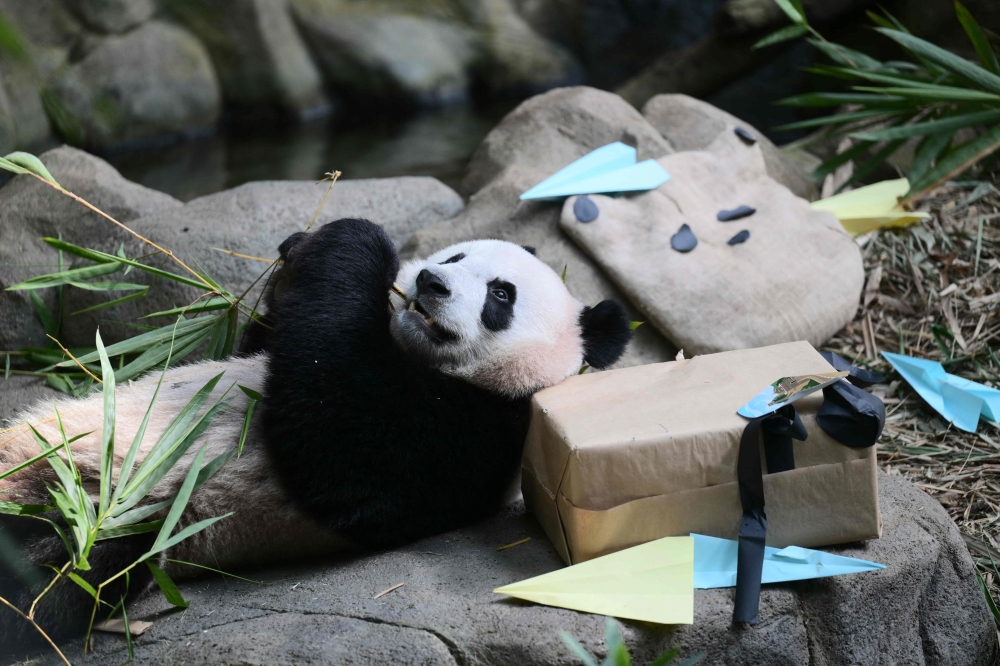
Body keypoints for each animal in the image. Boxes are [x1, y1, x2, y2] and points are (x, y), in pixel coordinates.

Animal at [0, 217, 631, 644]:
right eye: (455, 255)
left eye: (501, 294)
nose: (431, 282)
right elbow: (270, 340)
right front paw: (296, 251)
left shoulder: (476, 434)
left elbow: (345, 448)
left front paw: (360, 240)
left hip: (121, 518)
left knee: (57, 575)